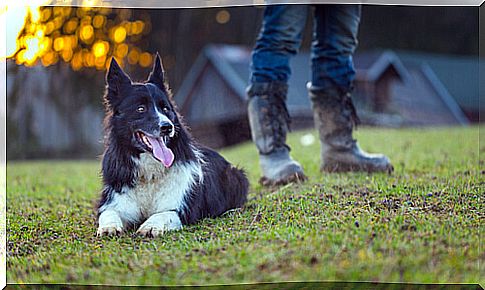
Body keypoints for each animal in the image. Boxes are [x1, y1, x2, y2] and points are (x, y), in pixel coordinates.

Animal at [96, 54, 248, 238]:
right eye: (141, 109)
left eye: (165, 108)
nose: (167, 127)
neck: (150, 176)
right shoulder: (114, 201)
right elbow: (108, 213)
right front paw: (108, 227)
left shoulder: (183, 209)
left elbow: (163, 214)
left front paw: (150, 225)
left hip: (237, 176)